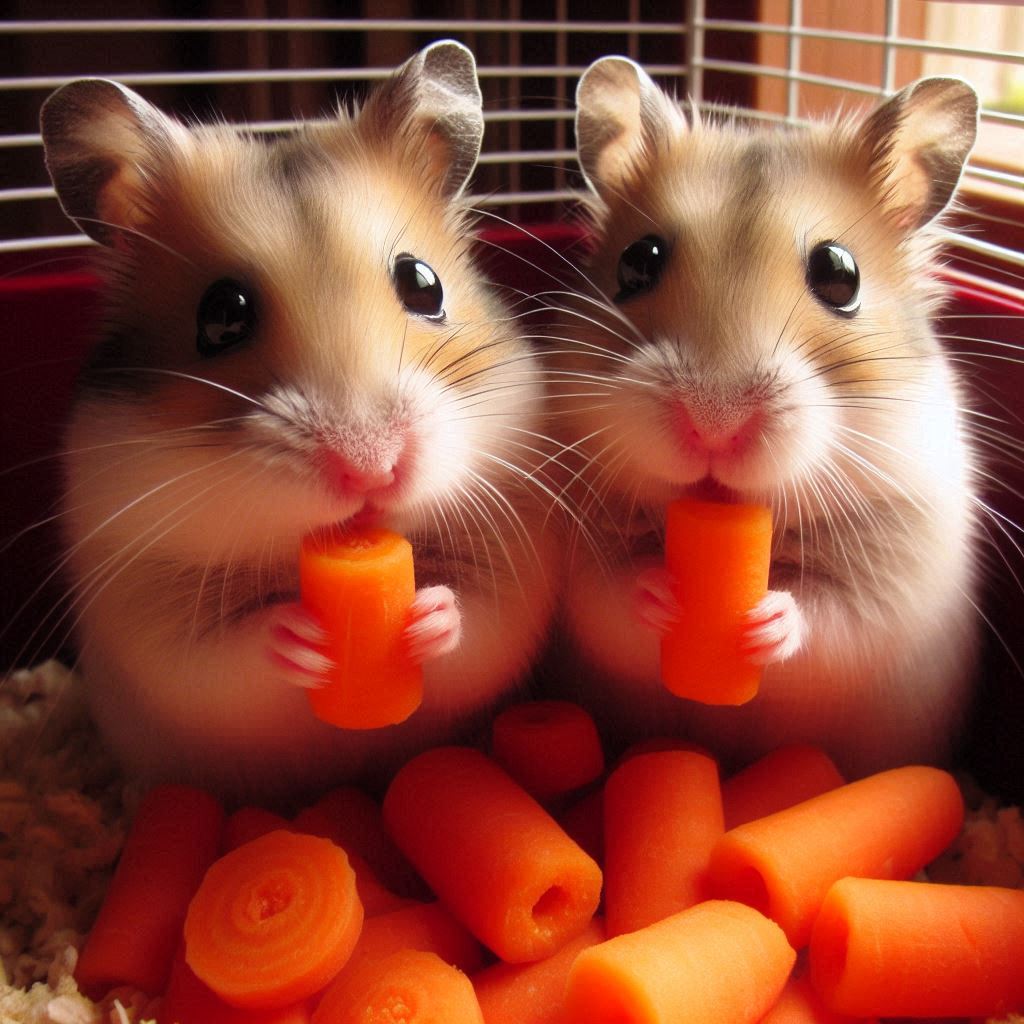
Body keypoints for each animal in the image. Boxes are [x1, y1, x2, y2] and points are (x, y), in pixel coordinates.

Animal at [41, 41, 561, 798]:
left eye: (424, 284)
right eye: (221, 315)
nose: (370, 468)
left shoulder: (518, 550)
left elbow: (485, 622)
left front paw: (429, 616)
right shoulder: (146, 600)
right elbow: (216, 659)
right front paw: (299, 637)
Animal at [552, 56, 983, 774]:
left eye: (840, 274)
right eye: (638, 262)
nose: (713, 425)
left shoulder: (899, 560)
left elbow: (835, 616)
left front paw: (765, 618)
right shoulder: (581, 554)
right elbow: (611, 594)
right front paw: (662, 593)